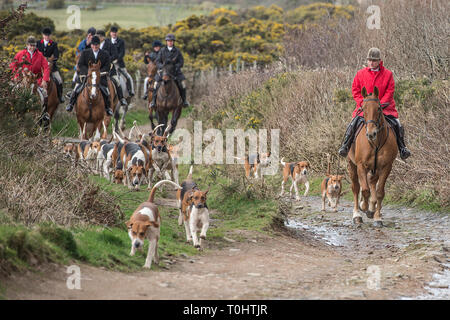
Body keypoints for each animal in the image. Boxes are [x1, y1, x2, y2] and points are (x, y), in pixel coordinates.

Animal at [348, 87, 398, 228]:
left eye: (379, 108)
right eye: (363, 108)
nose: (371, 134)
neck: (375, 142)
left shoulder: (386, 167)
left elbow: (380, 192)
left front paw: (377, 217)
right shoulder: (360, 166)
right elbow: (364, 190)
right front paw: (363, 206)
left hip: (375, 168)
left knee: (371, 182)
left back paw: (371, 208)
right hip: (352, 165)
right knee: (356, 187)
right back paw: (357, 215)